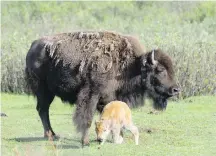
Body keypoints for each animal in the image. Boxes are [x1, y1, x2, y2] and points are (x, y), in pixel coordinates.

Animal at [25, 31, 180, 146]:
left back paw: (52, 135)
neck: (131, 66)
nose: (176, 90)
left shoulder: (109, 99)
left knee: (43, 110)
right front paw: (86, 142)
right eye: (160, 70)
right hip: (43, 90)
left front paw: (117, 138)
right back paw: (50, 135)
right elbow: (87, 118)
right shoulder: (91, 95)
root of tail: (33, 46)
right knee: (43, 110)